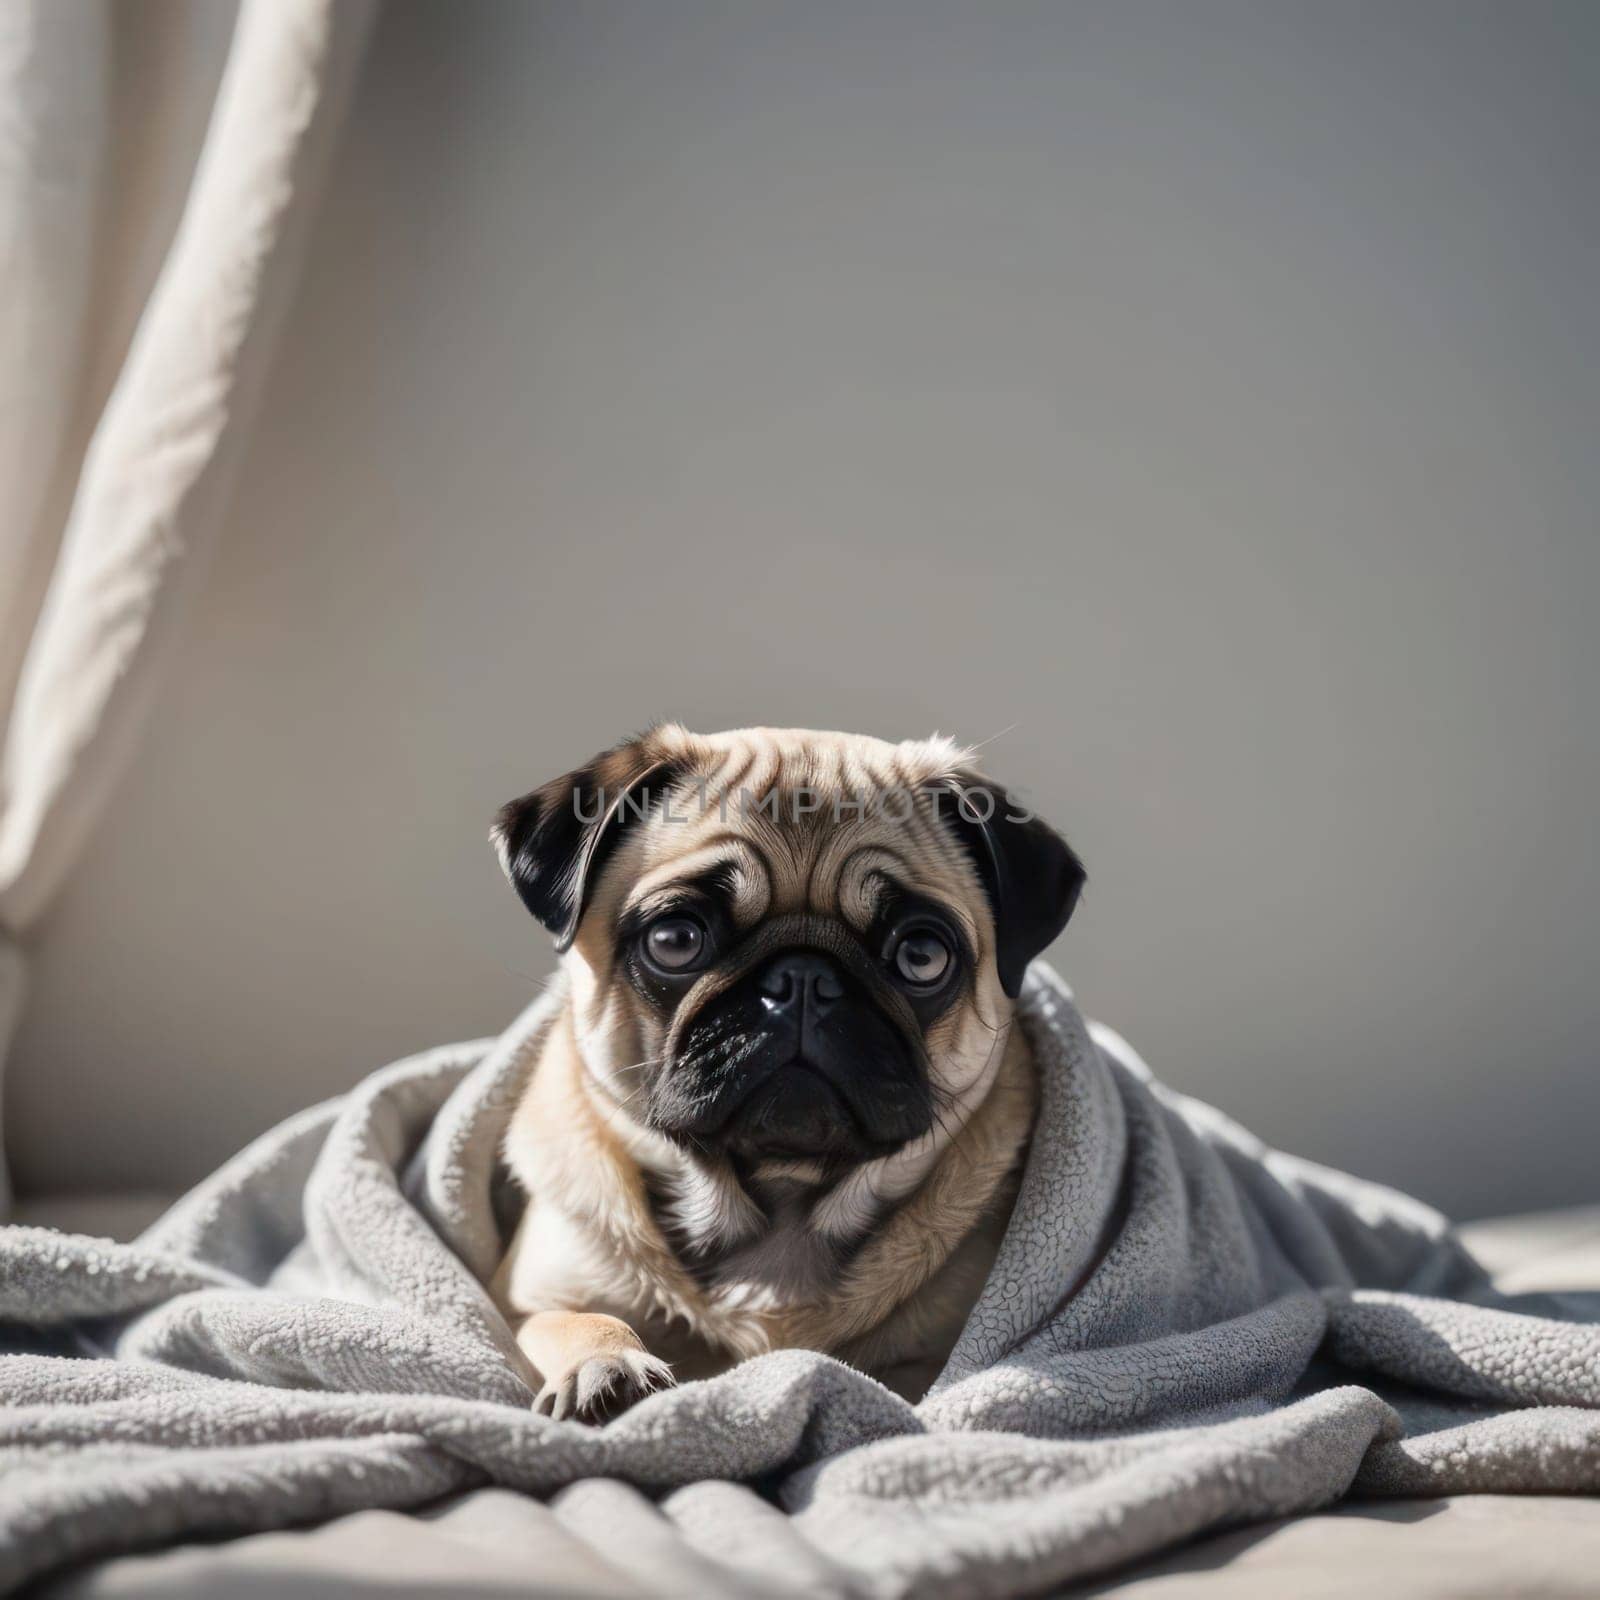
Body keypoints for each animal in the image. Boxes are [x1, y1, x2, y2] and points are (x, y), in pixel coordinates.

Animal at [486, 732, 1088, 1420]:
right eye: (675, 939)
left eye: (922, 955)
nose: (804, 978)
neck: (781, 1204)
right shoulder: (521, 1302)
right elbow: (571, 1320)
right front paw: (608, 1366)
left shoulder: (952, 1345)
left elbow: (916, 1376)